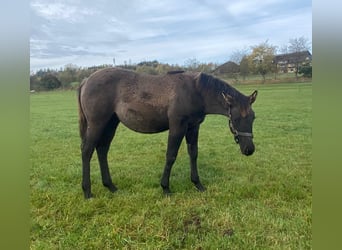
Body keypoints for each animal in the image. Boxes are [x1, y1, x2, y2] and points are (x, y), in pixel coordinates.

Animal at [77, 67, 256, 198]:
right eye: (237, 118)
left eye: (253, 117)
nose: (249, 150)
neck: (195, 91)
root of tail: (86, 81)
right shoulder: (178, 126)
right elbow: (171, 155)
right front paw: (165, 188)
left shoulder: (193, 127)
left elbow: (193, 154)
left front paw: (198, 184)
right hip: (97, 124)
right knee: (87, 151)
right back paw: (87, 192)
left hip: (110, 124)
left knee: (102, 150)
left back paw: (111, 187)